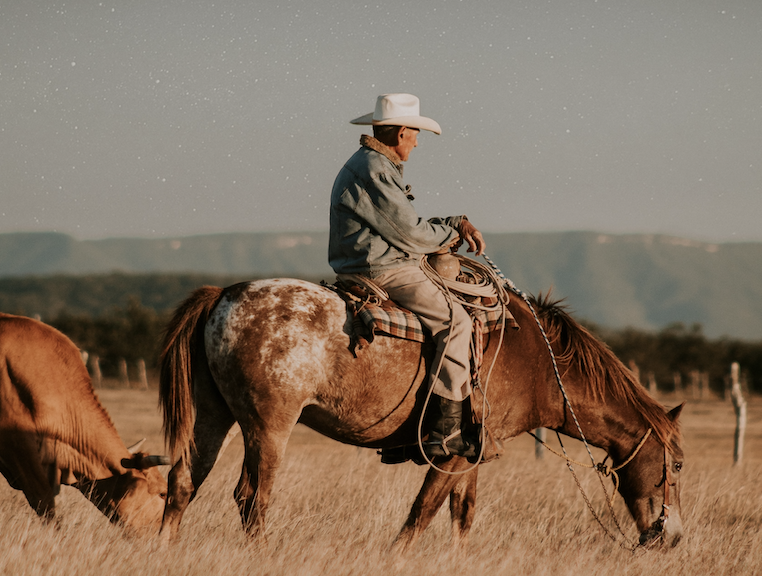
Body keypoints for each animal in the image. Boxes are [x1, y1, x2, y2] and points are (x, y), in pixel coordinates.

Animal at [159, 280, 684, 548]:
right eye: (676, 465)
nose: (673, 537)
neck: (536, 360)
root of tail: (224, 293)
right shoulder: (449, 456)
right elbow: (420, 516)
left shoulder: (473, 453)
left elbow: (460, 515)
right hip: (269, 428)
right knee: (253, 498)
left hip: (216, 418)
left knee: (184, 481)